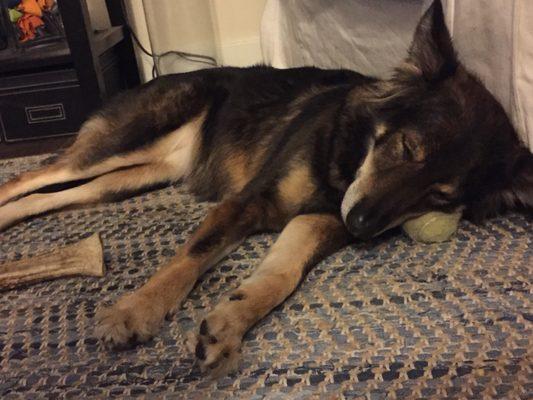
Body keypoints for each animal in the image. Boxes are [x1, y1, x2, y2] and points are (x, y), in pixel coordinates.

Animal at [1, 0, 532, 376]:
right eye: (406, 147)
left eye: (441, 196)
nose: (360, 227)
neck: (346, 156)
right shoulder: (245, 203)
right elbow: (190, 260)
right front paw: (136, 311)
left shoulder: (315, 221)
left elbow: (282, 275)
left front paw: (227, 325)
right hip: (124, 143)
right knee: (29, 176)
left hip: (131, 178)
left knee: (53, 195)